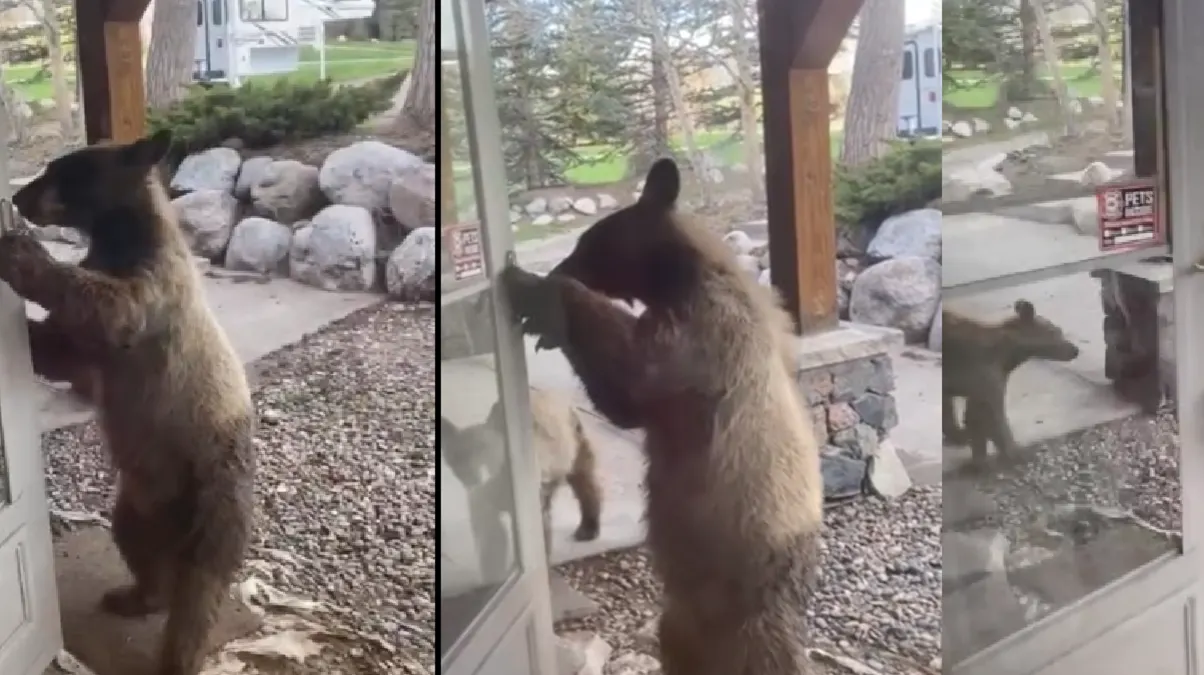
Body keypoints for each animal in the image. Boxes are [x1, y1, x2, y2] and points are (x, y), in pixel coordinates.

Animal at [1, 130, 256, 675]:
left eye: (63, 171)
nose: (19, 197)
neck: (122, 234)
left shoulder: (157, 287)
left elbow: (111, 307)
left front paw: (19, 252)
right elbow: (61, 349)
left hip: (213, 508)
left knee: (195, 602)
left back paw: (175, 653)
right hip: (138, 506)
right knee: (141, 552)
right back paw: (134, 596)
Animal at [501, 158, 822, 675]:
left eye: (587, 241)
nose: (561, 264)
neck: (686, 275)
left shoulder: (707, 341)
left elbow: (636, 380)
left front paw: (535, 291)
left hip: (742, 593)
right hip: (682, 616)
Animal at [943, 299, 1080, 466]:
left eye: (1059, 330)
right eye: (1053, 332)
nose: (1075, 350)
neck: (1008, 356)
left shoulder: (981, 386)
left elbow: (976, 417)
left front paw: (980, 458)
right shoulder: (986, 378)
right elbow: (993, 419)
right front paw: (1015, 454)